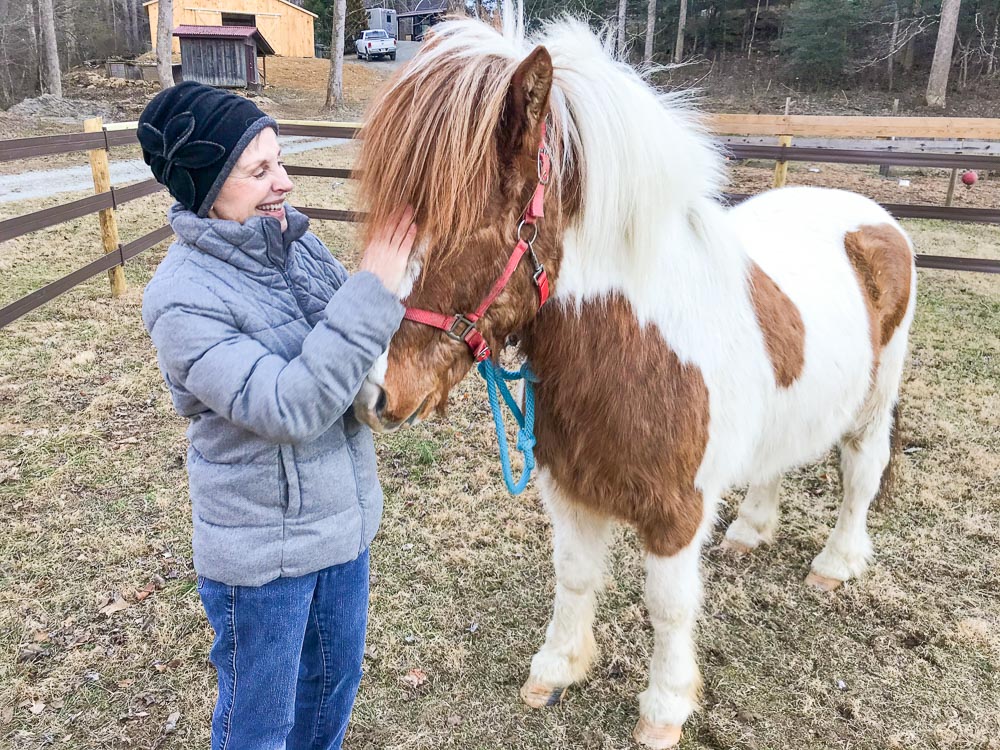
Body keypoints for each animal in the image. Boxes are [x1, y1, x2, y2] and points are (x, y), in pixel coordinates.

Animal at [351, 14, 916, 748]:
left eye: (464, 226)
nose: (374, 395)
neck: (636, 350)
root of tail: (871, 214)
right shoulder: (567, 487)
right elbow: (573, 576)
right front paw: (555, 669)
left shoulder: (678, 510)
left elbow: (669, 605)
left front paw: (664, 708)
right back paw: (751, 531)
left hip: (874, 402)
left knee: (860, 473)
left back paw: (835, 564)